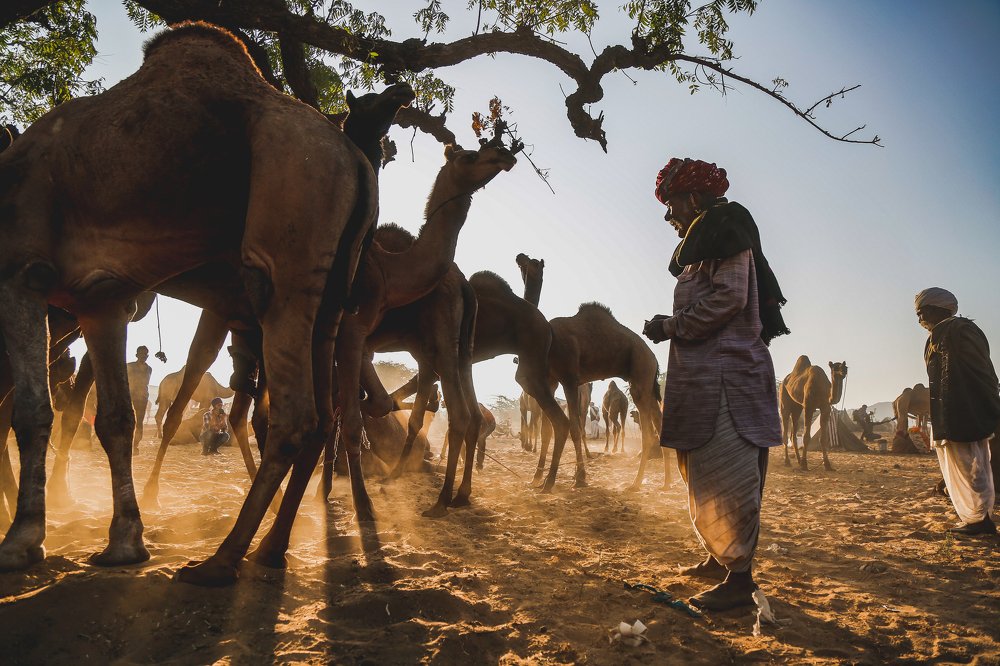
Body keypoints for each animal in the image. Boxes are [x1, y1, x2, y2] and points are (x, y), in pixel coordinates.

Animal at [0, 23, 378, 581]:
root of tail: (356, 160)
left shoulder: (21, 270)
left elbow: (30, 413)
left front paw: (22, 540)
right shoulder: (100, 300)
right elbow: (114, 418)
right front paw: (124, 543)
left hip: (290, 229)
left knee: (293, 416)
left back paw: (221, 560)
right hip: (332, 288)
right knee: (318, 415)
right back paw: (269, 550)